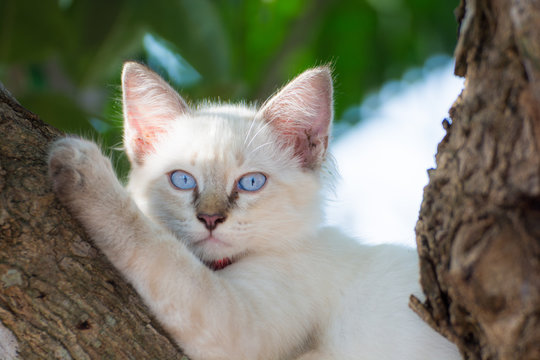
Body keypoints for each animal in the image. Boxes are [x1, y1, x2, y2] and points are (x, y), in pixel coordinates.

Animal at [48, 63, 460, 358]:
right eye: (182, 180)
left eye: (250, 183)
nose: (210, 219)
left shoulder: (239, 324)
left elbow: (152, 245)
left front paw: (80, 165)